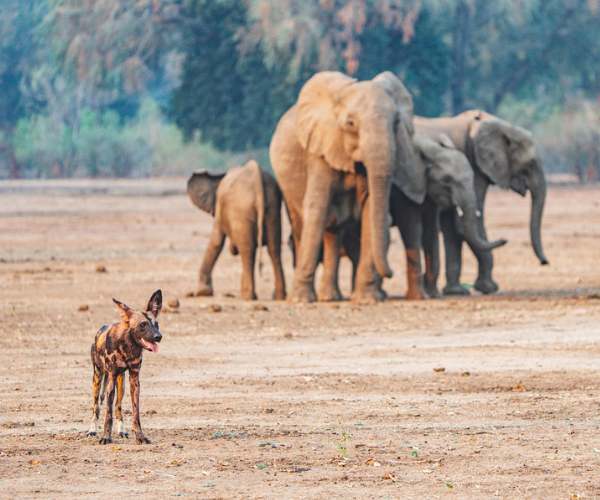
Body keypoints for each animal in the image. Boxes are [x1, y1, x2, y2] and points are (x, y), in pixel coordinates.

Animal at [86, 290, 162, 446]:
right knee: (96, 407)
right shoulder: (110, 380)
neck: (128, 346)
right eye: (143, 324)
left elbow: (135, 414)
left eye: (156, 324)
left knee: (118, 407)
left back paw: (121, 430)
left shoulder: (134, 380)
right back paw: (92, 430)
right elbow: (107, 415)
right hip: (98, 378)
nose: (159, 337)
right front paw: (106, 437)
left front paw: (140, 436)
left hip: (121, 384)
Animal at [188, 160, 286, 300]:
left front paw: (202, 293)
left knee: (248, 249)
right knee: (274, 249)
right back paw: (278, 296)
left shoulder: (220, 207)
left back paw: (247, 296)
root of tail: (257, 176)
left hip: (242, 209)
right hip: (273, 208)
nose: (233, 249)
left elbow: (216, 241)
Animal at [270, 71, 424, 302]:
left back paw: (330, 297)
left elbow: (370, 208)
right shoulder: (319, 150)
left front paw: (367, 299)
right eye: (350, 123)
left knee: (333, 231)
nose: (391, 273)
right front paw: (300, 301)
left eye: (396, 122)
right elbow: (317, 206)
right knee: (303, 225)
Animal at [412, 111, 548, 294]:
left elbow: (453, 226)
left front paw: (456, 292)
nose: (544, 262)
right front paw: (489, 288)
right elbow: (463, 224)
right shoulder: (472, 166)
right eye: (531, 163)